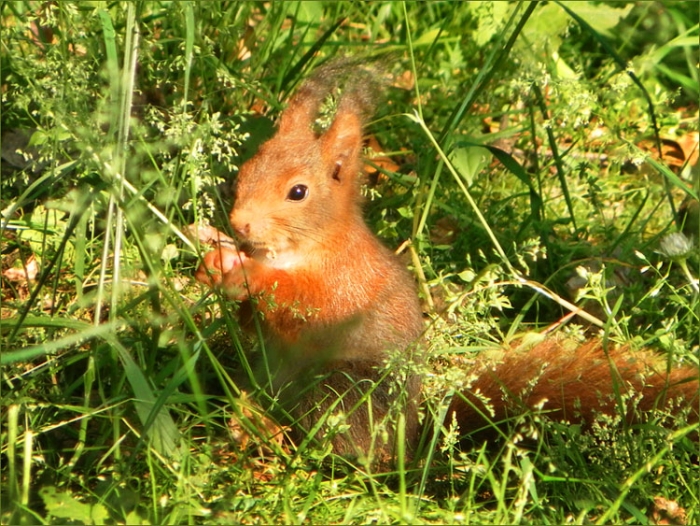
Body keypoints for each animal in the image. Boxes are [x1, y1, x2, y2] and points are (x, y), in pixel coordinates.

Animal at [194, 58, 699, 467]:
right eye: (246, 170)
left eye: (297, 192)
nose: (239, 222)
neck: (308, 246)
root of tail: (409, 446)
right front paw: (214, 259)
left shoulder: (342, 285)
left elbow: (307, 309)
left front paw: (247, 271)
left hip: (341, 388)